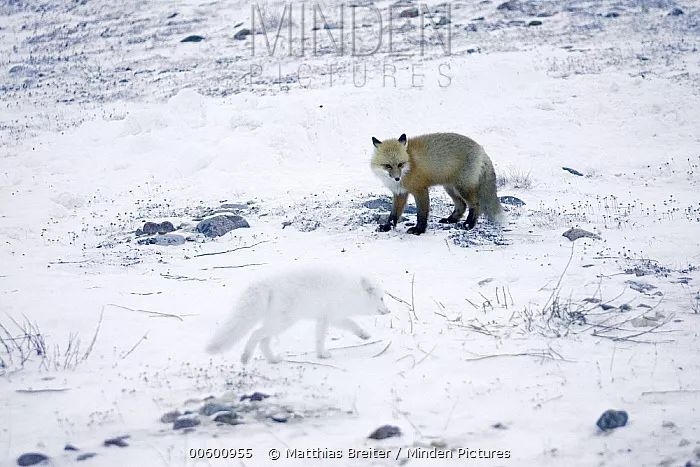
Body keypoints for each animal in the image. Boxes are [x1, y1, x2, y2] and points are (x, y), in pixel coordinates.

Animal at [205, 266, 392, 366]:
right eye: (382, 298)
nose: (389, 311)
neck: (351, 292)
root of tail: (267, 283)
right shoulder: (332, 316)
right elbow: (348, 325)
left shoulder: (326, 318)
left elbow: (324, 336)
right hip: (283, 322)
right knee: (255, 334)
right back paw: (245, 357)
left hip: (277, 322)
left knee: (263, 340)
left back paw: (272, 360)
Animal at [372, 133, 504, 236]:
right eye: (387, 166)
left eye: (400, 164)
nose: (397, 178)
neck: (410, 164)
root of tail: (481, 149)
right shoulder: (400, 193)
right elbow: (393, 215)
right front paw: (387, 227)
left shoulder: (420, 190)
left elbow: (421, 214)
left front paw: (419, 230)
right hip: (450, 188)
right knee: (461, 205)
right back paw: (450, 220)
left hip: (462, 188)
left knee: (476, 205)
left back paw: (469, 224)